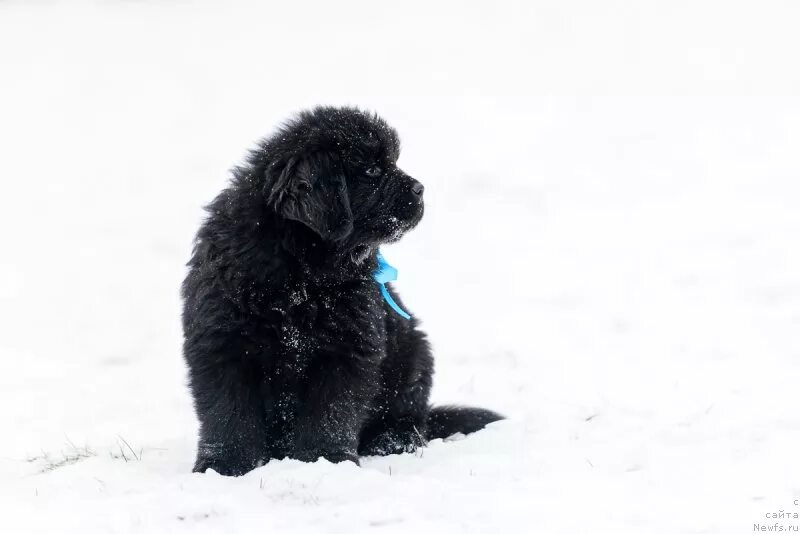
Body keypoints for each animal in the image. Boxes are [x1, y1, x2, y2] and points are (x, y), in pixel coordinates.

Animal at [184, 108, 504, 478]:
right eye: (373, 170)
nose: (421, 188)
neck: (300, 270)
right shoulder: (221, 343)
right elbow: (229, 413)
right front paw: (223, 467)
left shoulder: (347, 347)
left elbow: (331, 413)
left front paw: (325, 461)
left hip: (413, 354)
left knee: (409, 418)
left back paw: (392, 441)